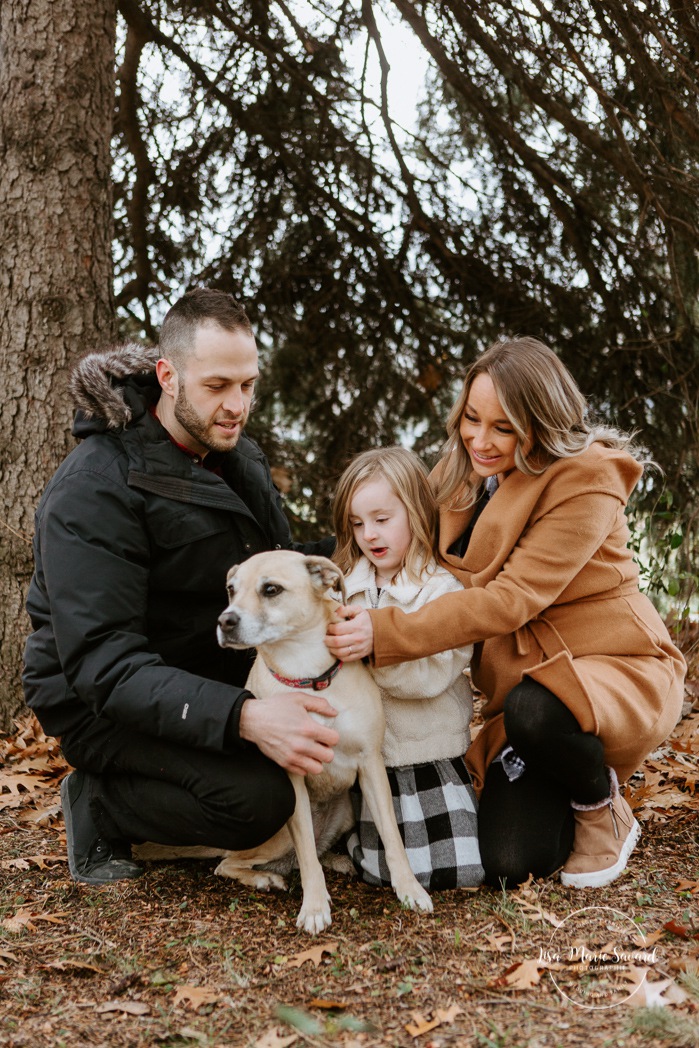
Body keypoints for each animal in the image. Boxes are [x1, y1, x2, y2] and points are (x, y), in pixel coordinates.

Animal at [213, 549, 431, 934]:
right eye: (231, 589)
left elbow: (393, 839)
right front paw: (314, 906)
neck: (307, 674)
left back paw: (338, 860)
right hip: (278, 835)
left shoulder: (371, 764)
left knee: (313, 852)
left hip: (346, 813)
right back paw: (265, 878)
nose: (225, 621)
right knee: (233, 863)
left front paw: (409, 888)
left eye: (271, 589)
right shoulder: (293, 776)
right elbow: (306, 859)